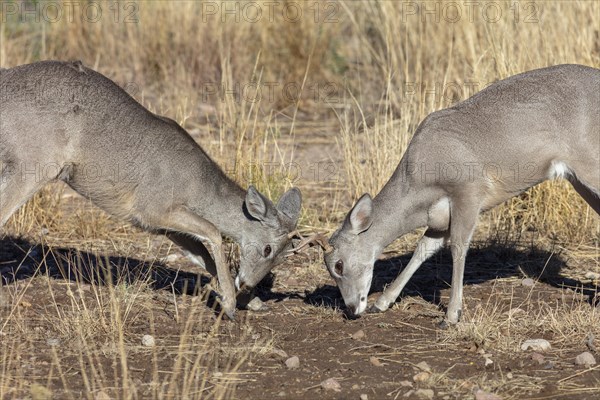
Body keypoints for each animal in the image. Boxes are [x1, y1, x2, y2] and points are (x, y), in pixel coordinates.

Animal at [0, 61, 302, 318]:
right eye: (267, 249)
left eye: (283, 256)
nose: (248, 283)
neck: (196, 186)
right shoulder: (152, 209)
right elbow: (214, 233)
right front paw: (229, 305)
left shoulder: (165, 228)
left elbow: (203, 256)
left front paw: (251, 302)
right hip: (34, 167)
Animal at [304, 64, 600, 326]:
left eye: (338, 265)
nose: (352, 308)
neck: (420, 180)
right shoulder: (439, 216)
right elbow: (424, 249)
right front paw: (383, 302)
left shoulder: (469, 190)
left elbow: (458, 246)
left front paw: (451, 315)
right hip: (579, 180)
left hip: (589, 166)